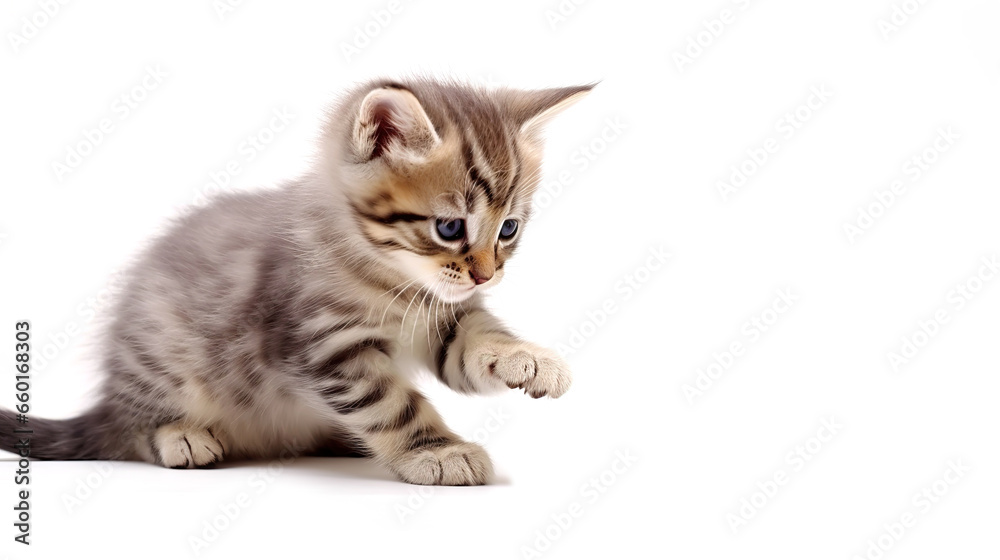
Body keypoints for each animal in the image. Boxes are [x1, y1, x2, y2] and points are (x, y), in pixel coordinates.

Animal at [0, 77, 588, 486]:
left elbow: (475, 343)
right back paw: (178, 435)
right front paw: (436, 451)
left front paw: (528, 358)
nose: (488, 274)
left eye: (509, 228)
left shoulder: (441, 317)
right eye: (449, 228)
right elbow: (392, 403)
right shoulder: (321, 345)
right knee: (130, 428)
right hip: (161, 351)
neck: (387, 277)